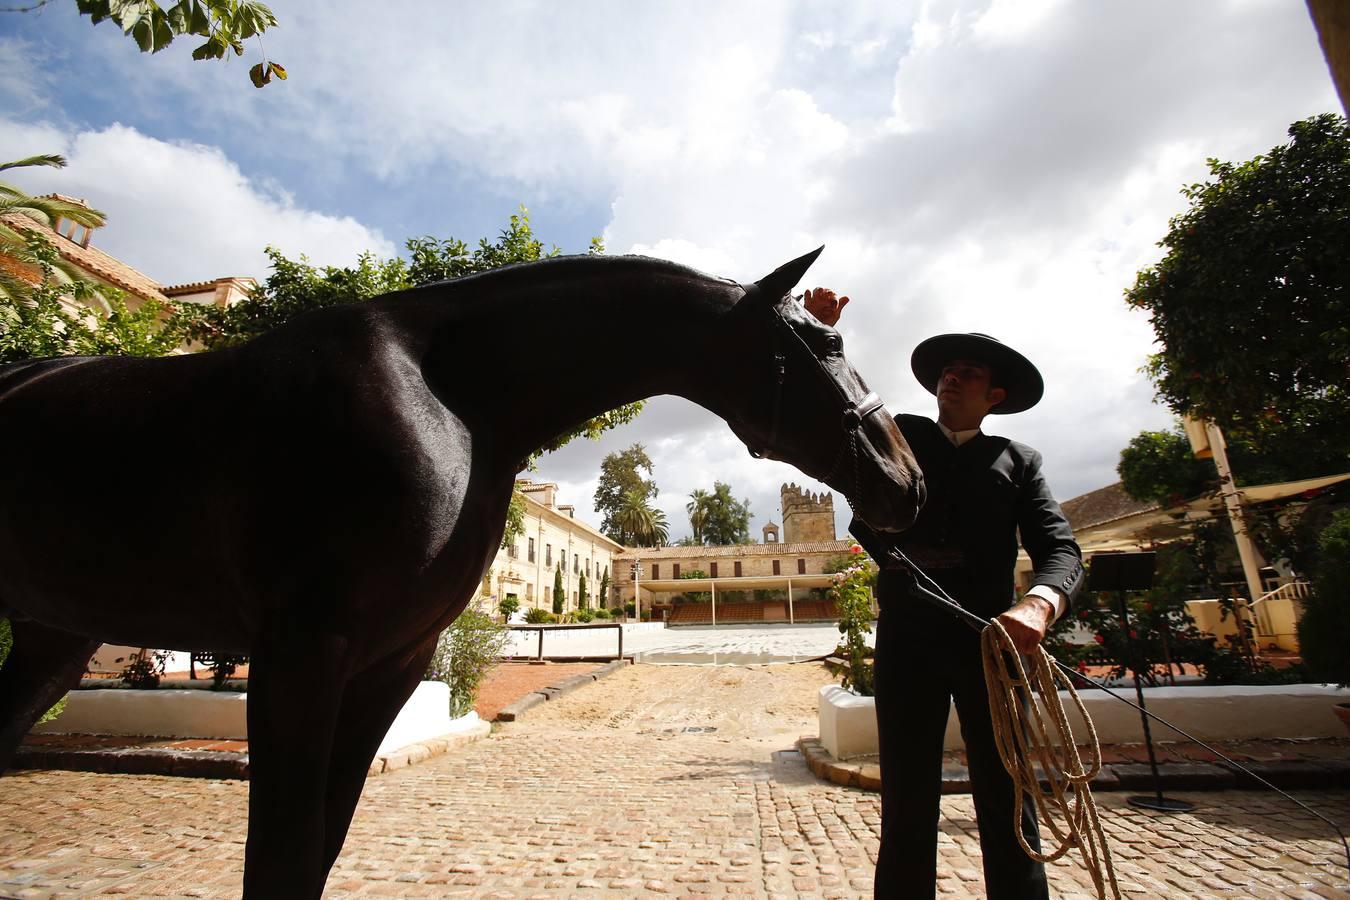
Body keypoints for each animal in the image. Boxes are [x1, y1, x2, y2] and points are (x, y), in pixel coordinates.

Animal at [0, 244, 918, 895]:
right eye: (826, 338)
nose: (907, 477)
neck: (456, 399)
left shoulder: (392, 659)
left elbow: (317, 852)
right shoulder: (301, 650)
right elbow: (282, 858)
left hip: (53, 634)